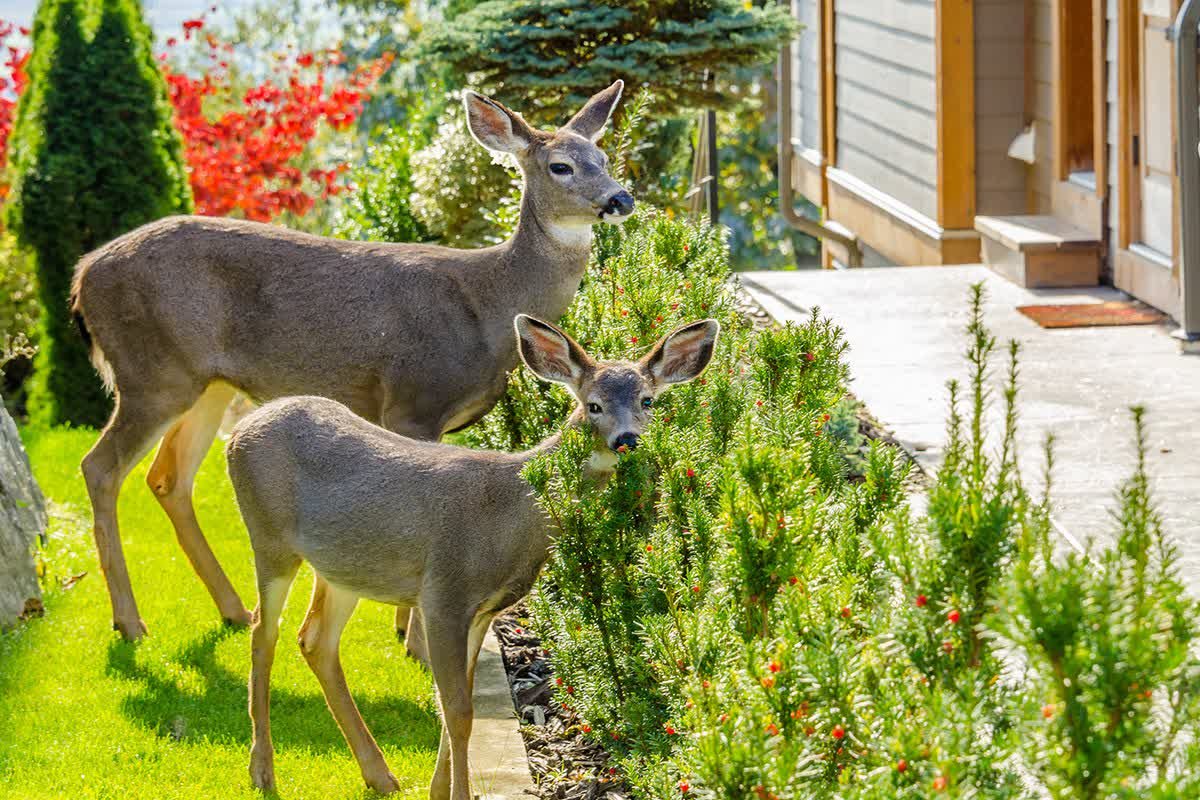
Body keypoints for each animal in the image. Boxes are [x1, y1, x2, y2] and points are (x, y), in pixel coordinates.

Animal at [69, 81, 633, 642]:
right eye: (561, 165)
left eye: (604, 157)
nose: (621, 198)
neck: (488, 303)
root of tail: (82, 275)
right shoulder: (413, 397)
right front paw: (408, 635)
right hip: (150, 371)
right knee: (100, 467)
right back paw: (130, 620)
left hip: (207, 383)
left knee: (168, 477)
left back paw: (233, 610)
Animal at [225, 314, 718, 798]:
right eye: (593, 404)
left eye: (648, 400)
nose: (627, 439)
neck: (513, 512)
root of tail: (239, 430)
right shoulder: (444, 591)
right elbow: (458, 710)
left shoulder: (484, 610)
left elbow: (459, 706)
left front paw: (437, 790)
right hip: (268, 534)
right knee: (262, 632)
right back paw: (262, 770)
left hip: (345, 567)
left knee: (314, 639)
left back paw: (379, 775)